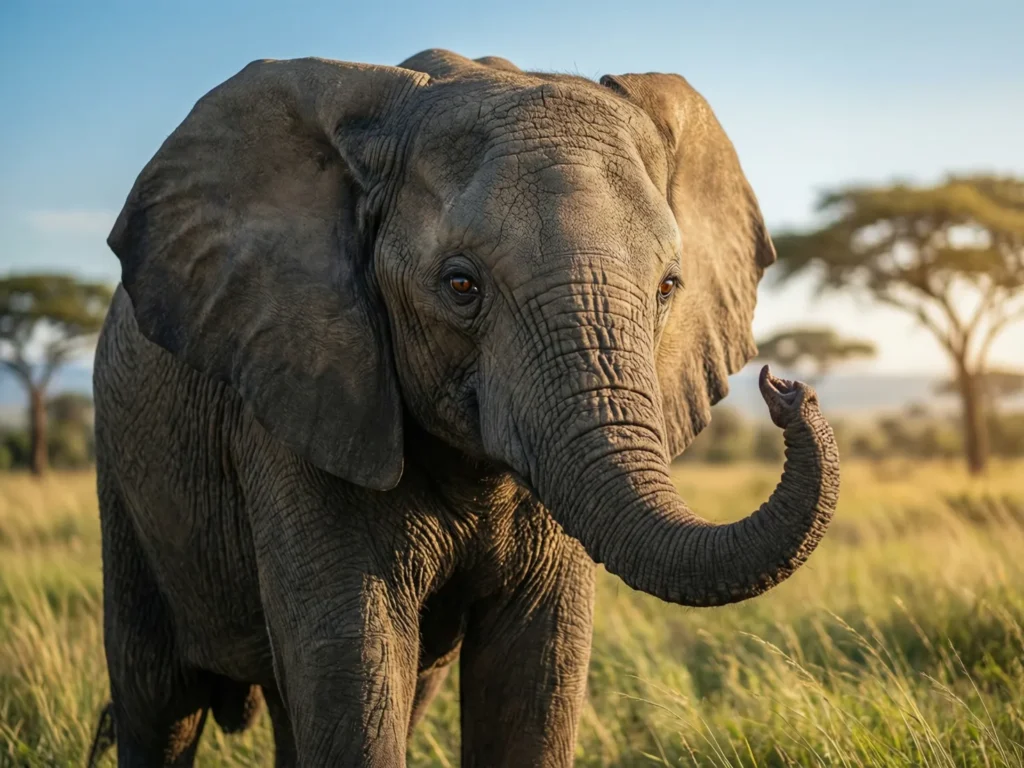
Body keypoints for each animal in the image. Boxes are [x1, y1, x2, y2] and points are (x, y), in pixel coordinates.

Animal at [86, 48, 839, 767]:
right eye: (460, 285)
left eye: (666, 288)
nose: (785, 388)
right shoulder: (303, 388)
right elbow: (354, 671)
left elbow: (535, 677)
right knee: (159, 703)